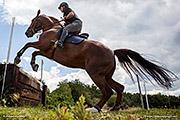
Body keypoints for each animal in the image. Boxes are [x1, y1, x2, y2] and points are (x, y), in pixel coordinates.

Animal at [14, 9, 177, 112]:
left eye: (33, 20)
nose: (27, 32)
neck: (51, 29)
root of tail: (112, 52)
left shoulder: (42, 45)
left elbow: (28, 46)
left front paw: (17, 58)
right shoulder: (45, 51)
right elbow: (34, 52)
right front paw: (34, 65)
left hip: (95, 73)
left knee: (107, 91)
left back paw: (95, 108)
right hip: (106, 75)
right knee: (119, 88)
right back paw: (114, 107)